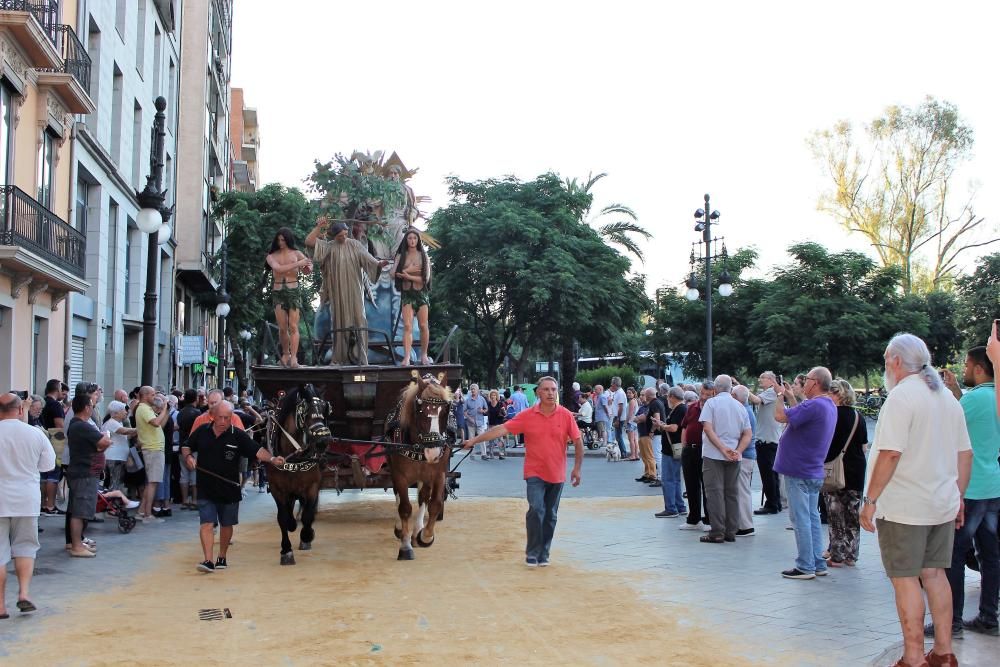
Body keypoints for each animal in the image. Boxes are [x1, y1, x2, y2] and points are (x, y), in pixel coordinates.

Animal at [266, 384, 332, 568]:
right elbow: (282, 518)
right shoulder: (277, 489)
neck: (293, 457)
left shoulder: (312, 486)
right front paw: (286, 551)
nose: (323, 441)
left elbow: (308, 515)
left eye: (325, 409)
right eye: (305, 411)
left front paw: (307, 536)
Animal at [386, 374, 454, 560]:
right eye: (421, 410)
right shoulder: (400, 475)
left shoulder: (438, 473)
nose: (433, 452)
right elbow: (404, 507)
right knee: (398, 496)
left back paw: (417, 530)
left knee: (423, 497)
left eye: (445, 411)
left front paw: (425, 535)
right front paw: (405, 546)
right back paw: (401, 529)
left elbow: (435, 504)